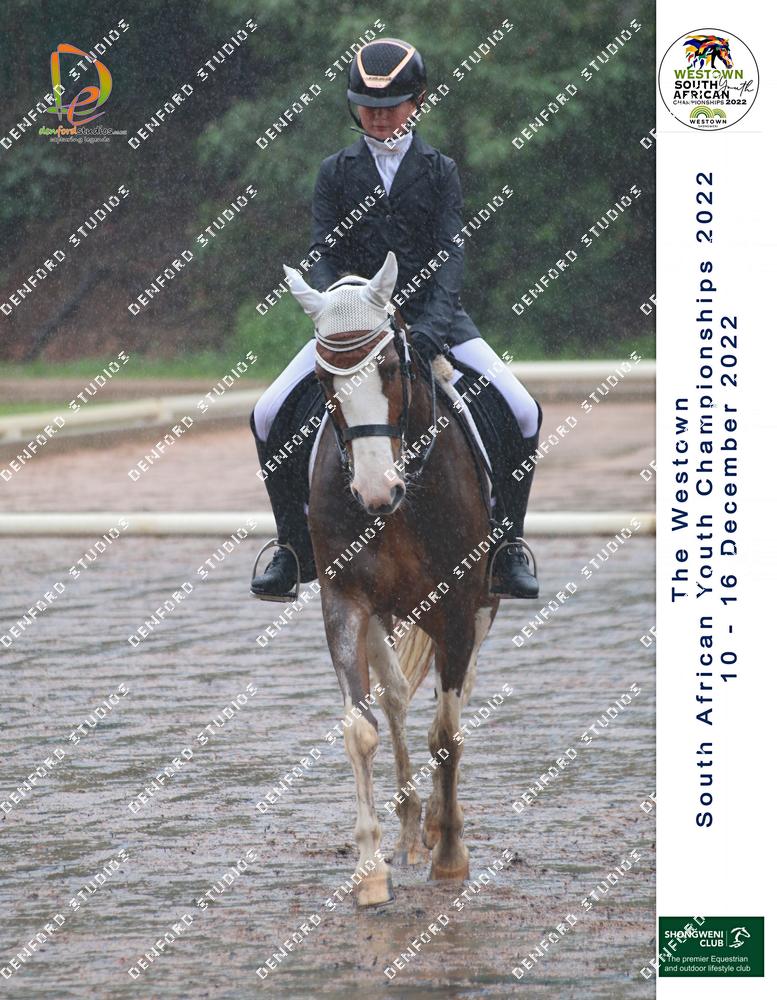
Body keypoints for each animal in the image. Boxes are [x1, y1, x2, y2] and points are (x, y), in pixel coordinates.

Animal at [283, 250, 502, 906]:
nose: (376, 492)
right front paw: (370, 871)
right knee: (399, 698)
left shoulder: (458, 604)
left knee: (456, 695)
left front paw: (451, 856)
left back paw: (434, 826)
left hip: (481, 606)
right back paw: (409, 831)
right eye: (324, 380)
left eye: (388, 367)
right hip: (384, 614)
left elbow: (448, 730)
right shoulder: (344, 600)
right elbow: (362, 728)